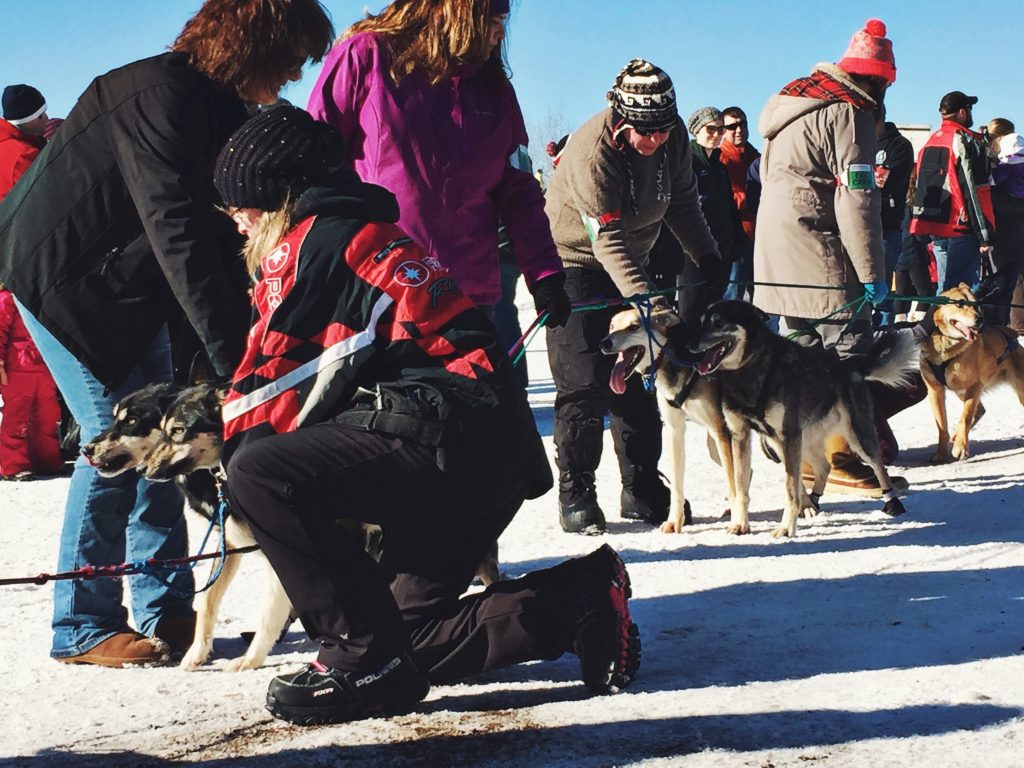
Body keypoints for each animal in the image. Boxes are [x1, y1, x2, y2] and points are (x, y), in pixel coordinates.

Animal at [692, 296, 917, 536]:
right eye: (702, 322)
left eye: (718, 323)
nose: (690, 346)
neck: (750, 370)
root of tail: (849, 365)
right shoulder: (740, 435)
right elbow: (741, 486)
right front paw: (740, 524)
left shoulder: (788, 436)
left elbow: (790, 488)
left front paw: (786, 528)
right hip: (788, 443)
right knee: (824, 466)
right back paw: (813, 501)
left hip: (856, 437)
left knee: (879, 467)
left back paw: (893, 503)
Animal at [921, 284, 1024, 460]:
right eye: (959, 304)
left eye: (976, 305)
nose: (980, 319)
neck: (947, 348)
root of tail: (1013, 336)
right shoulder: (935, 390)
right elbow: (941, 424)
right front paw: (941, 452)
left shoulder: (975, 386)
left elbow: (966, 416)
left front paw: (961, 447)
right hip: (960, 391)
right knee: (980, 410)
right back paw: (955, 436)